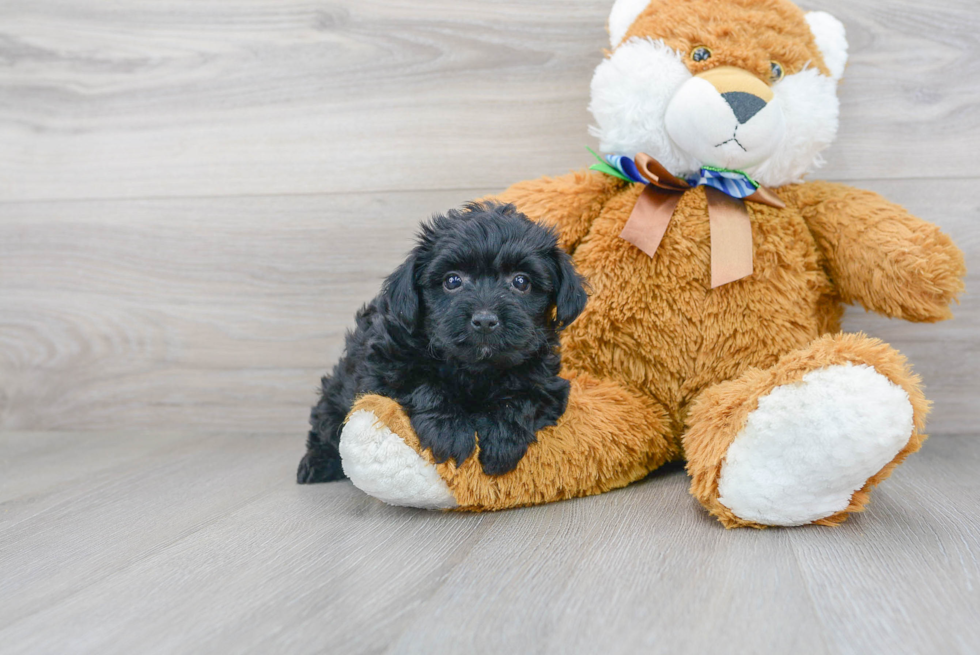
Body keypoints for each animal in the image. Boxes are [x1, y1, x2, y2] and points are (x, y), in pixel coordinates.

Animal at [298, 202, 584, 484]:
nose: (484, 320)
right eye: (452, 281)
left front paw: (501, 439)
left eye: (521, 281)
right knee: (325, 426)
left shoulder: (546, 383)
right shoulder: (384, 367)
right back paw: (315, 463)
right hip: (336, 393)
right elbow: (424, 385)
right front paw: (451, 431)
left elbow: (523, 399)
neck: (475, 368)